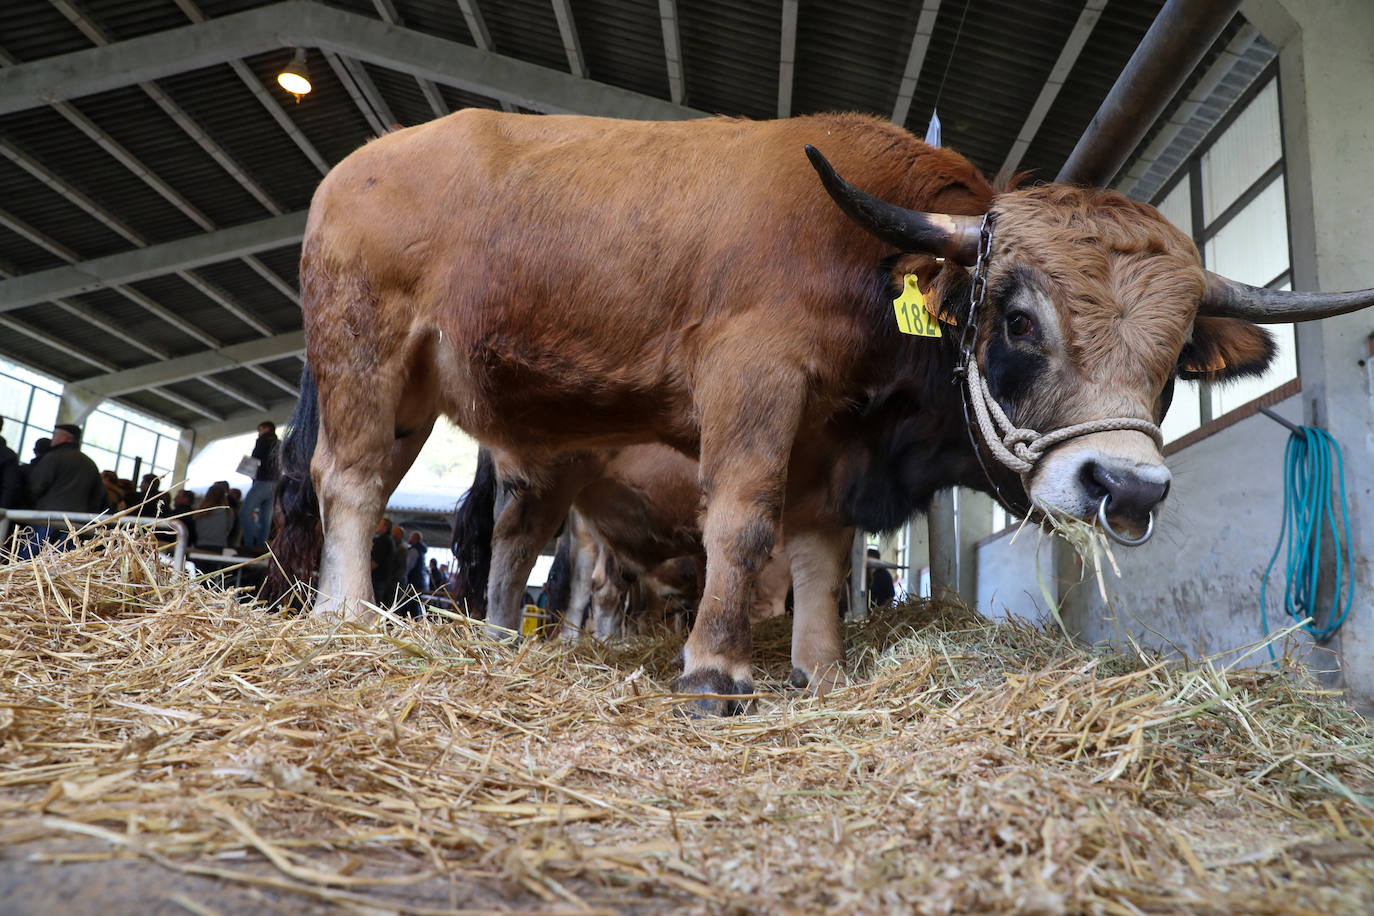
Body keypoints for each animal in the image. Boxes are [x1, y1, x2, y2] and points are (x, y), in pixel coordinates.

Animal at [270, 109, 1374, 714]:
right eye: (1019, 319)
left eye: (1178, 358)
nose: (1128, 484)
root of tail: (356, 166)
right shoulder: (754, 379)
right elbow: (743, 521)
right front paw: (715, 669)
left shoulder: (828, 438)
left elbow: (817, 555)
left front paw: (822, 672)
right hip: (367, 355)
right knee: (351, 484)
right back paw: (344, 616)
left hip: (483, 429)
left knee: (506, 540)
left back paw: (497, 639)